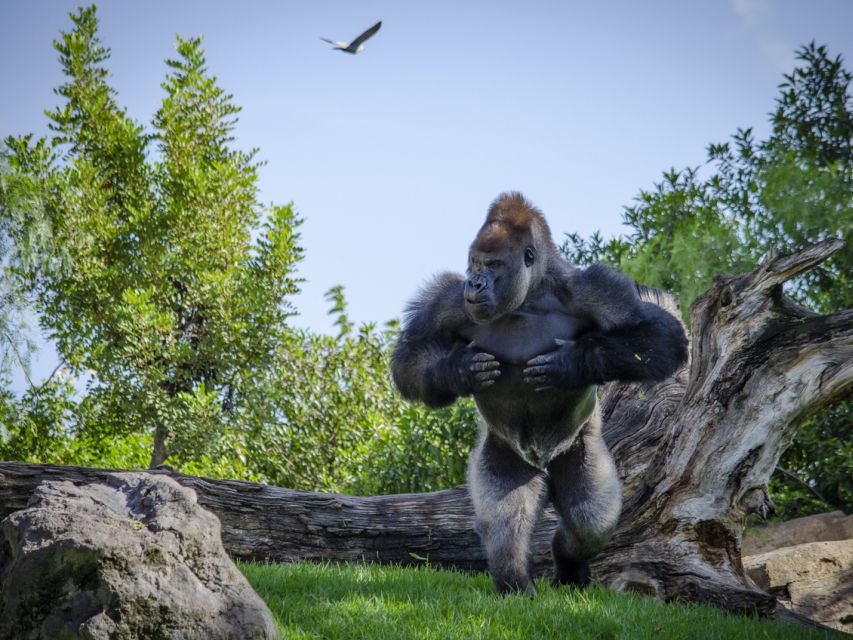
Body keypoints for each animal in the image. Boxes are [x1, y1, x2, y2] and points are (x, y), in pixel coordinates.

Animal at [392, 191, 684, 596]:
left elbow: (658, 335)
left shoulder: (596, 287)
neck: (530, 296)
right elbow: (411, 353)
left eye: (493, 264)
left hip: (583, 450)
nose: (475, 284)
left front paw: (573, 362)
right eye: (475, 263)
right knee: (506, 525)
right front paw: (457, 371)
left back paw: (568, 562)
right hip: (503, 454)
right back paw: (517, 584)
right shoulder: (448, 299)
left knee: (589, 521)